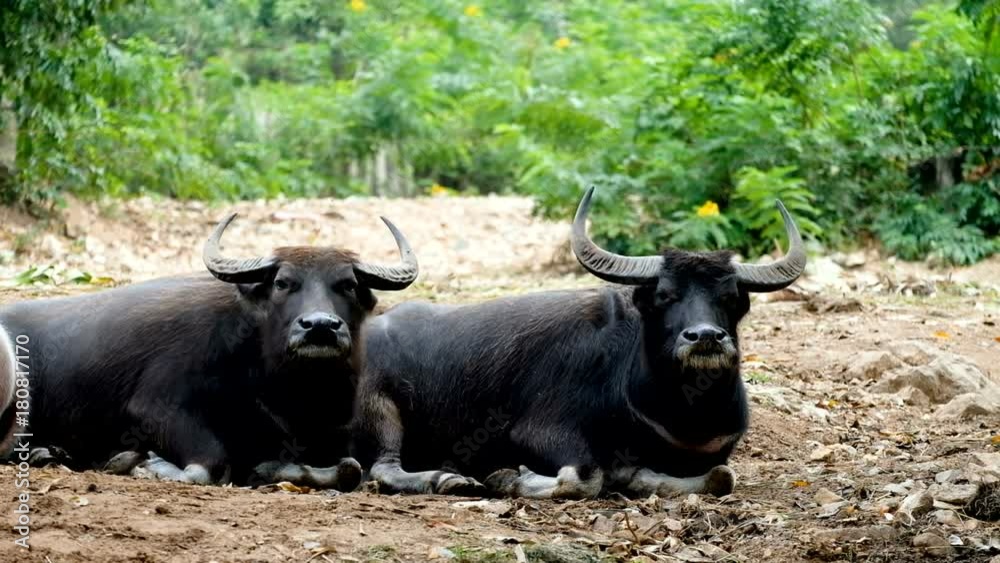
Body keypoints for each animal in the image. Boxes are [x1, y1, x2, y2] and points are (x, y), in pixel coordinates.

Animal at [0, 213, 419, 490]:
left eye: (347, 284)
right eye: (283, 283)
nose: (319, 326)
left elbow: (349, 467)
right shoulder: (156, 407)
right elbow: (208, 465)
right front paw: (143, 463)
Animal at [353, 187, 806, 499]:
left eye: (731, 297)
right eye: (665, 295)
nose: (706, 337)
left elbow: (720, 477)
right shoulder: (541, 434)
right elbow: (584, 477)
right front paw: (508, 477)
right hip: (380, 409)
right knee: (382, 468)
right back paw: (446, 478)